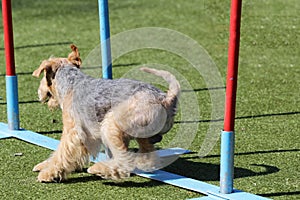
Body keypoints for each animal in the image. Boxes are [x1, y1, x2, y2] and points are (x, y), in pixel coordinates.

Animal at [31, 44, 179, 182]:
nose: (39, 93)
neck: (71, 84)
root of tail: (166, 99)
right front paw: (44, 166)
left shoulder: (72, 132)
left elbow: (61, 153)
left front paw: (47, 173)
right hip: (137, 133)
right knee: (147, 155)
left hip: (110, 125)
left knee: (125, 160)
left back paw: (99, 169)